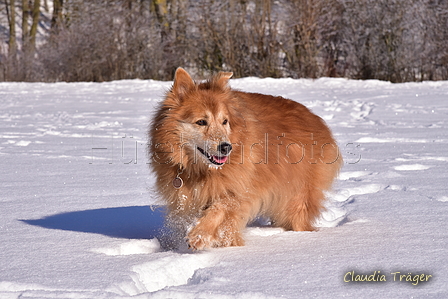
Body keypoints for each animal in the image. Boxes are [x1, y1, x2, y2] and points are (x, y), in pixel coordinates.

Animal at [149, 68, 342, 251]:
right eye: (201, 122)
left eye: (225, 121)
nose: (226, 147)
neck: (200, 170)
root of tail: (317, 120)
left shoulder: (240, 188)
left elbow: (220, 208)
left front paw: (200, 235)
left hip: (297, 196)